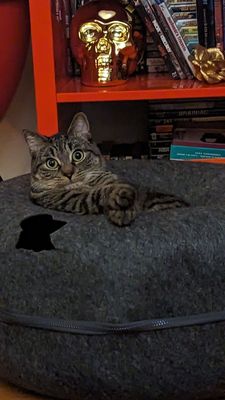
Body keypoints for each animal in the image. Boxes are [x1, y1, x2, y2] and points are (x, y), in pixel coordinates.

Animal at [23, 111, 187, 227]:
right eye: (51, 163)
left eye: (77, 155)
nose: (68, 173)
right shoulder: (68, 199)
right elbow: (100, 193)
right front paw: (120, 203)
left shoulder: (110, 179)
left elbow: (121, 186)